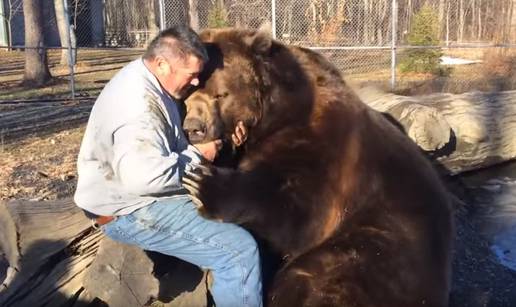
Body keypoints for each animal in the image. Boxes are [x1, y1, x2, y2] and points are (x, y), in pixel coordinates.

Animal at [180, 27, 452, 307]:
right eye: (188, 95)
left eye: (220, 93)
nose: (194, 128)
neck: (278, 116)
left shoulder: (325, 150)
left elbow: (298, 214)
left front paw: (203, 184)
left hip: (382, 244)